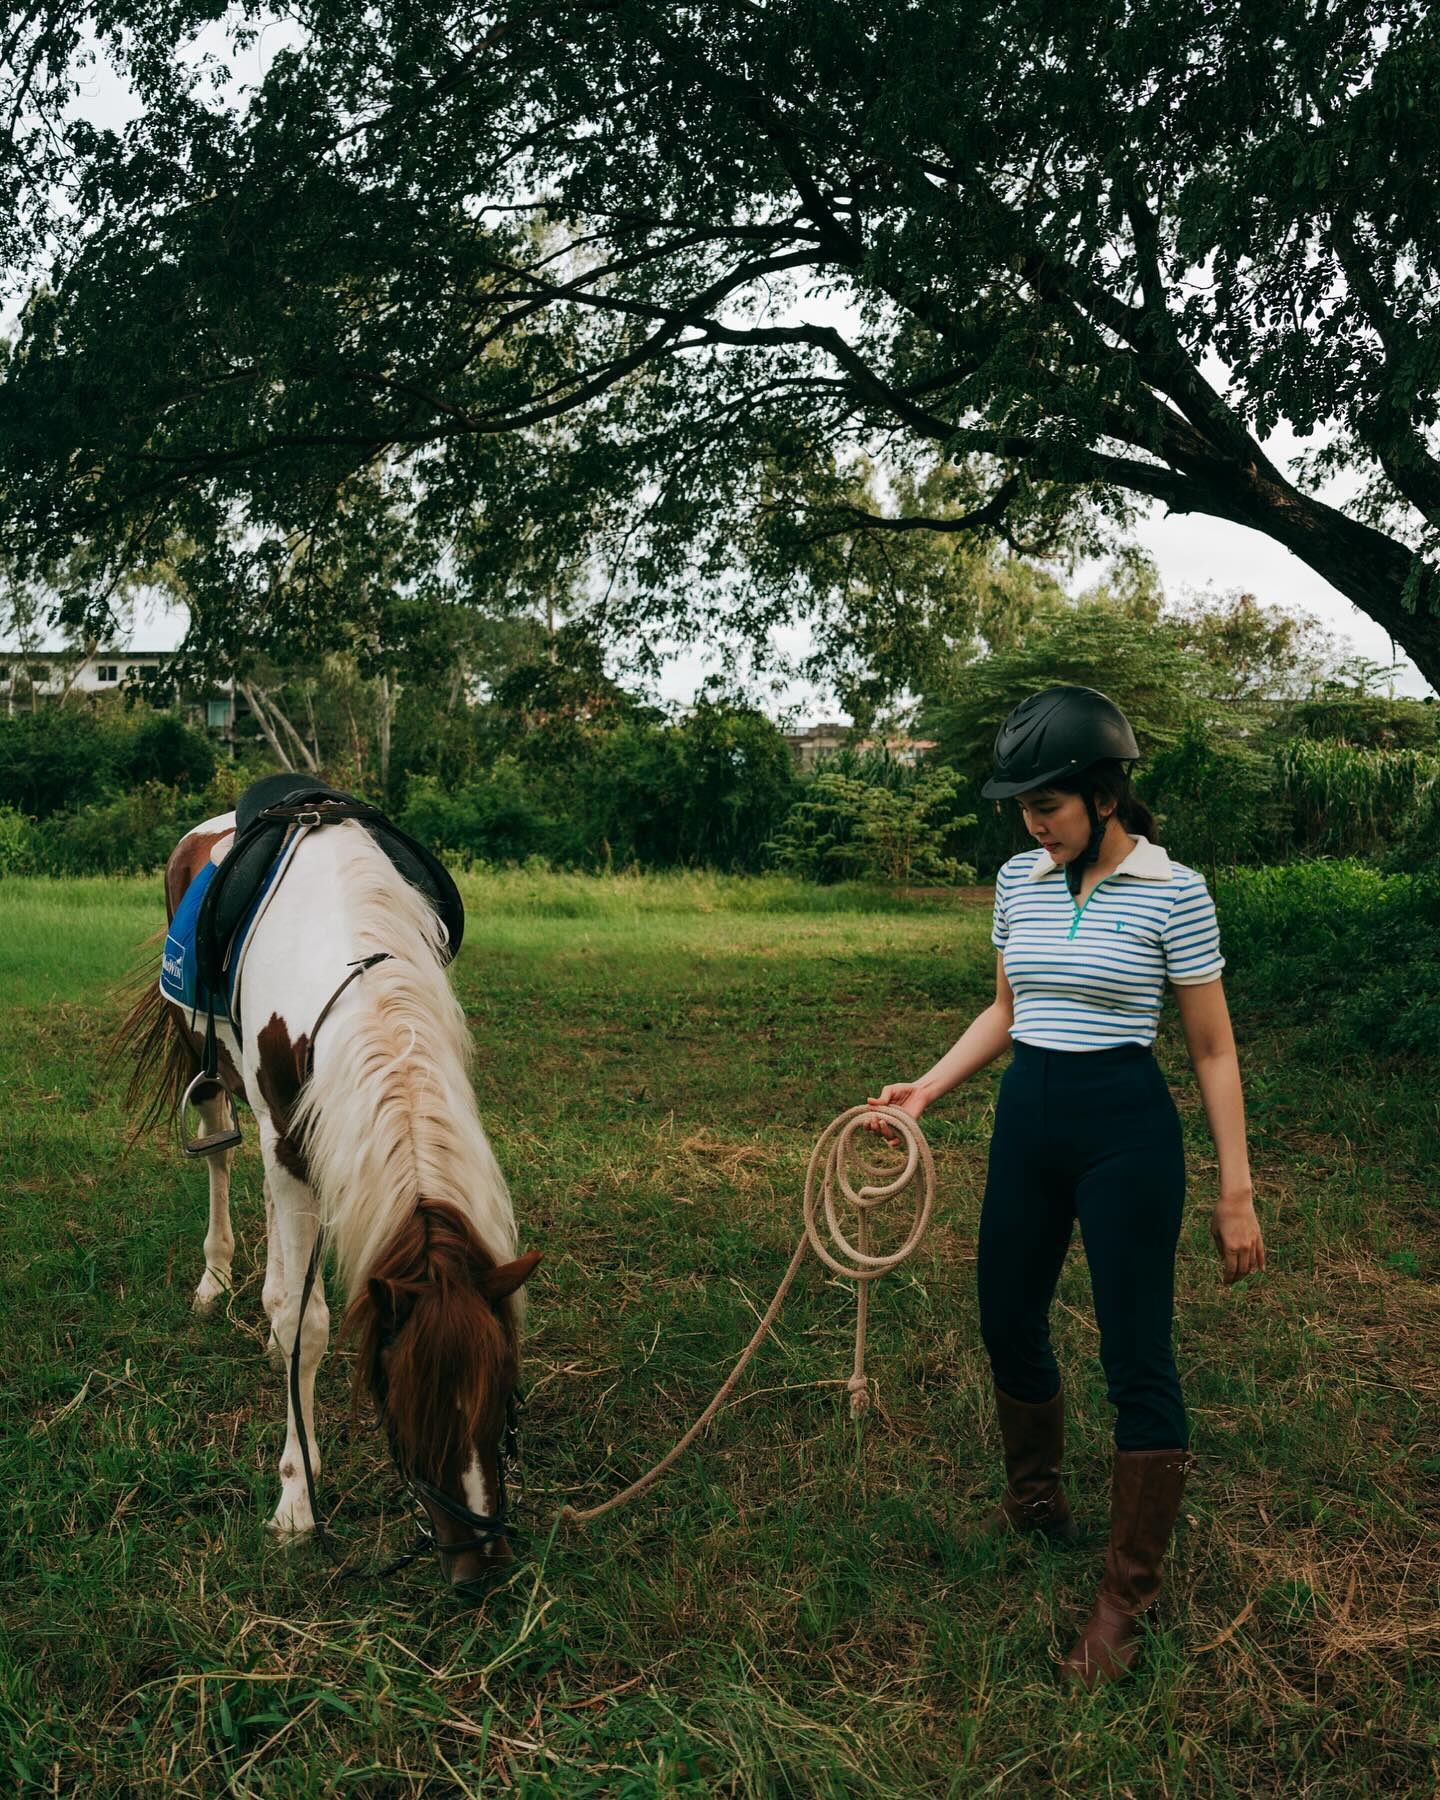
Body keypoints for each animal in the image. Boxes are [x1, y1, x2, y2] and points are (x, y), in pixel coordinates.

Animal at [120, 810, 540, 1584]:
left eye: (505, 1390)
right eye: (402, 1400)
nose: (480, 1565)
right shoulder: (287, 1140)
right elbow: (304, 1325)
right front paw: (296, 1501)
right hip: (212, 1069)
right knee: (221, 1155)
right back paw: (215, 1278)